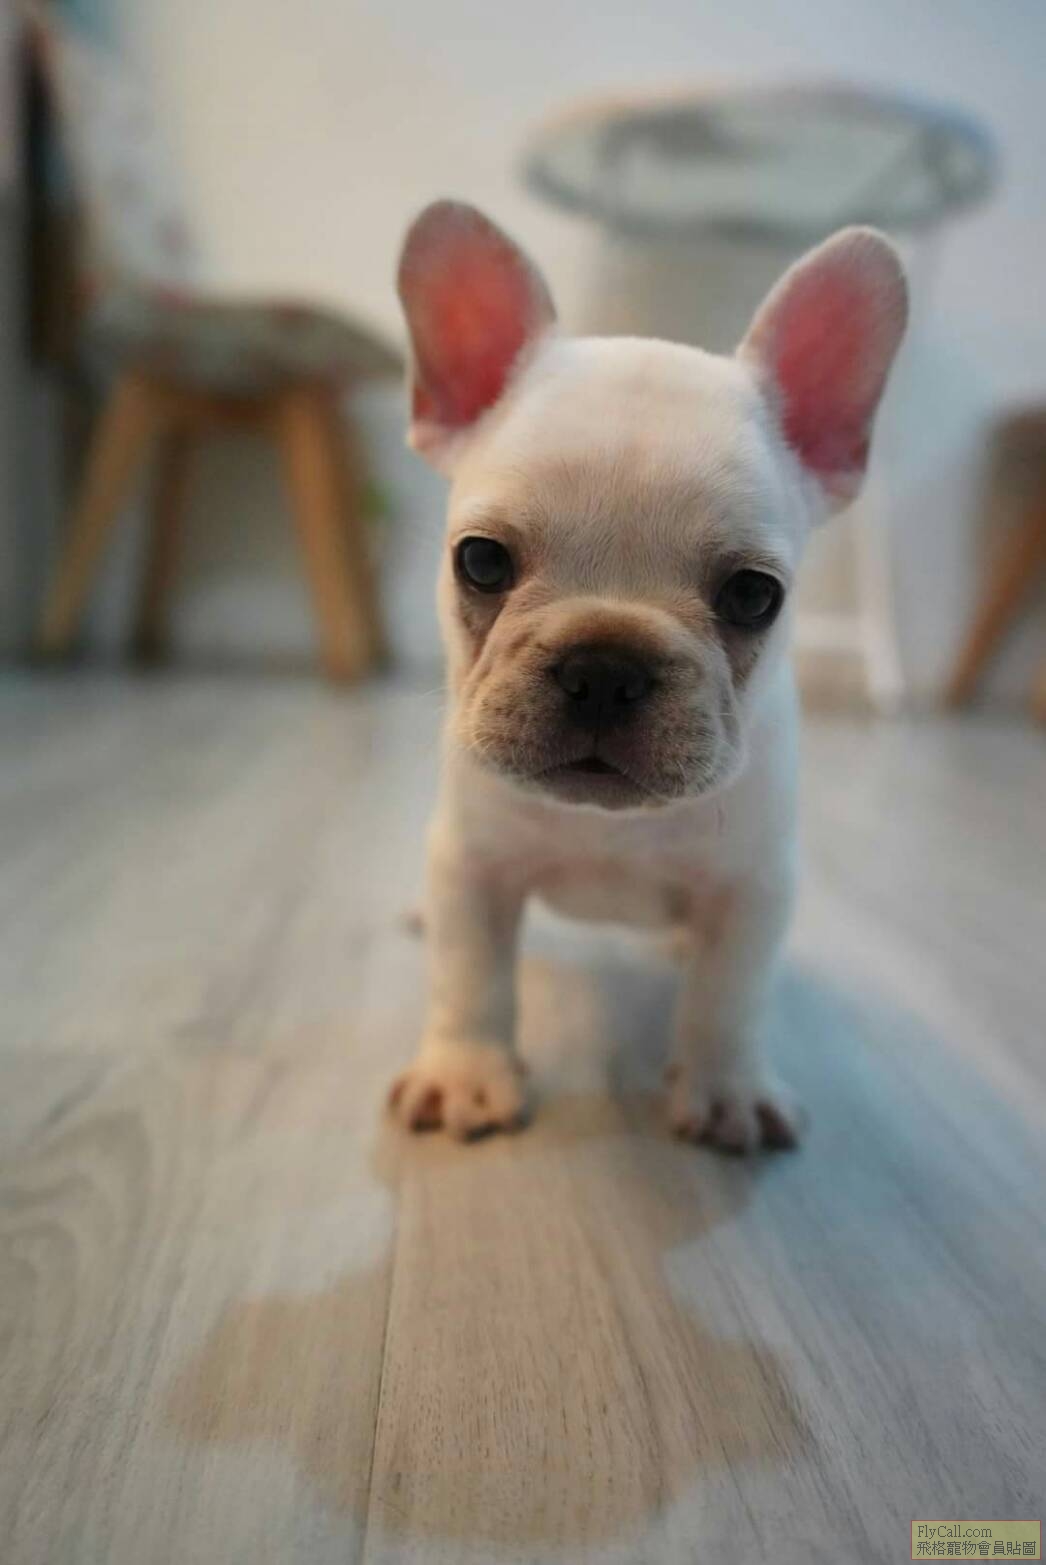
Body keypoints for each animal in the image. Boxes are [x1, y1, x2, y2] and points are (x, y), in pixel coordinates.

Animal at [388, 200, 907, 1151]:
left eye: (753, 595)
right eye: (480, 561)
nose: (604, 666)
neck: (612, 827)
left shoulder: (753, 890)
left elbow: (727, 997)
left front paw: (726, 1087)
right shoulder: (473, 867)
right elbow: (472, 975)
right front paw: (467, 1071)